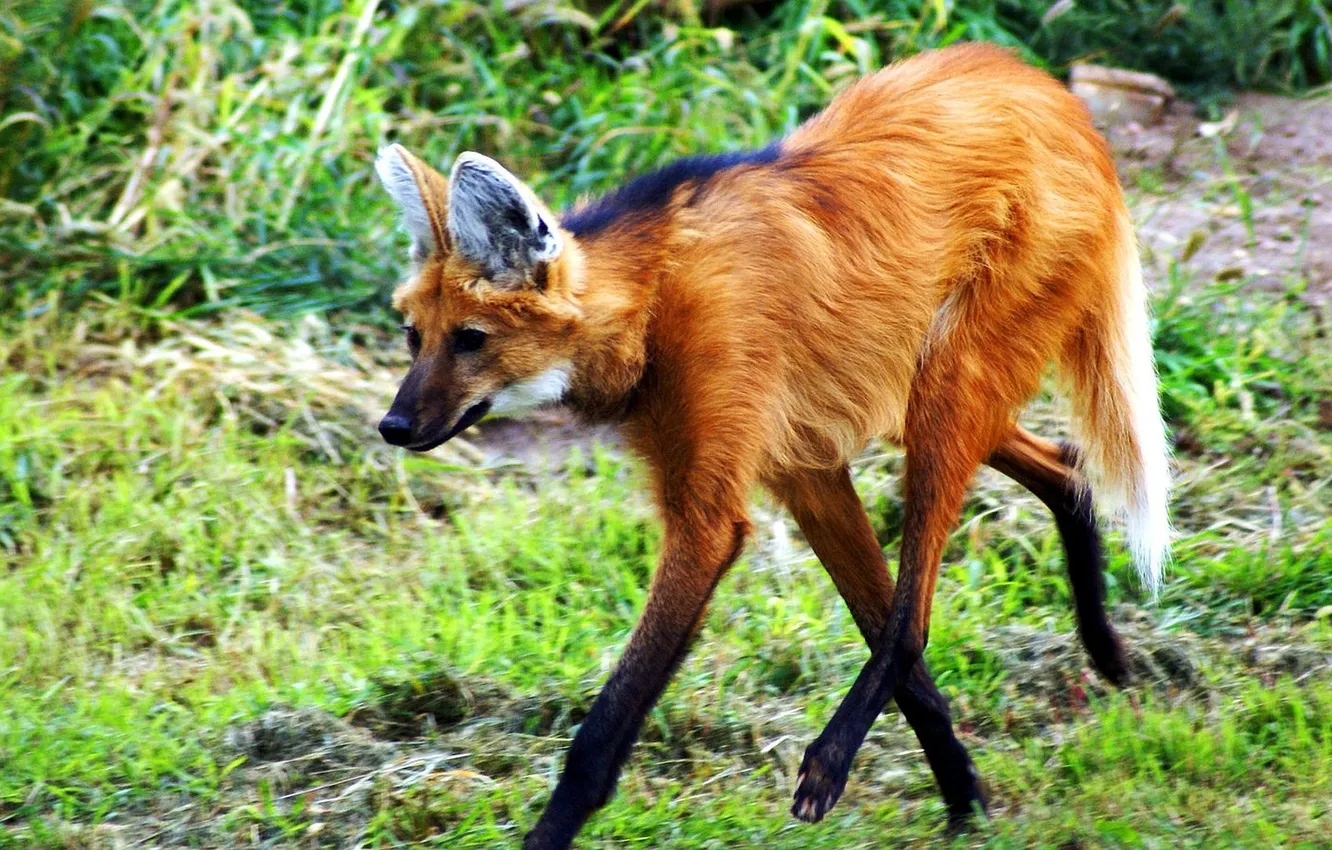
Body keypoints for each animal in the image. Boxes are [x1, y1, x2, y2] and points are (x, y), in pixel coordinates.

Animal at [372, 43, 1170, 850]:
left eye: (472, 340)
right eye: (414, 338)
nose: (393, 427)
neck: (652, 303)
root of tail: (1051, 92)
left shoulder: (713, 513)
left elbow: (606, 728)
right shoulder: (804, 469)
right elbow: (898, 656)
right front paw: (966, 801)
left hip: (946, 380)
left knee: (915, 613)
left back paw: (835, 757)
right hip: (902, 389)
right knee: (1065, 470)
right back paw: (1104, 649)